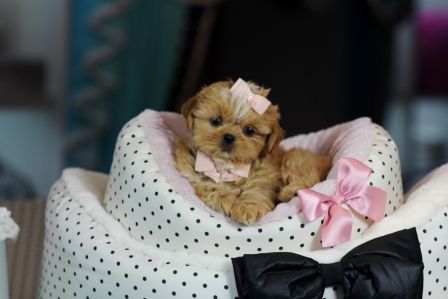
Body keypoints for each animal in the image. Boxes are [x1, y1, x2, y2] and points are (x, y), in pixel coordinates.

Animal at [177, 78, 330, 224]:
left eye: (249, 130)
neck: (229, 165)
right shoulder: (193, 171)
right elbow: (208, 183)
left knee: (310, 180)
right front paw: (225, 198)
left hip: (295, 160)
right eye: (216, 121)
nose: (229, 137)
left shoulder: (265, 177)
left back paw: (289, 193)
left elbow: (257, 191)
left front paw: (246, 208)